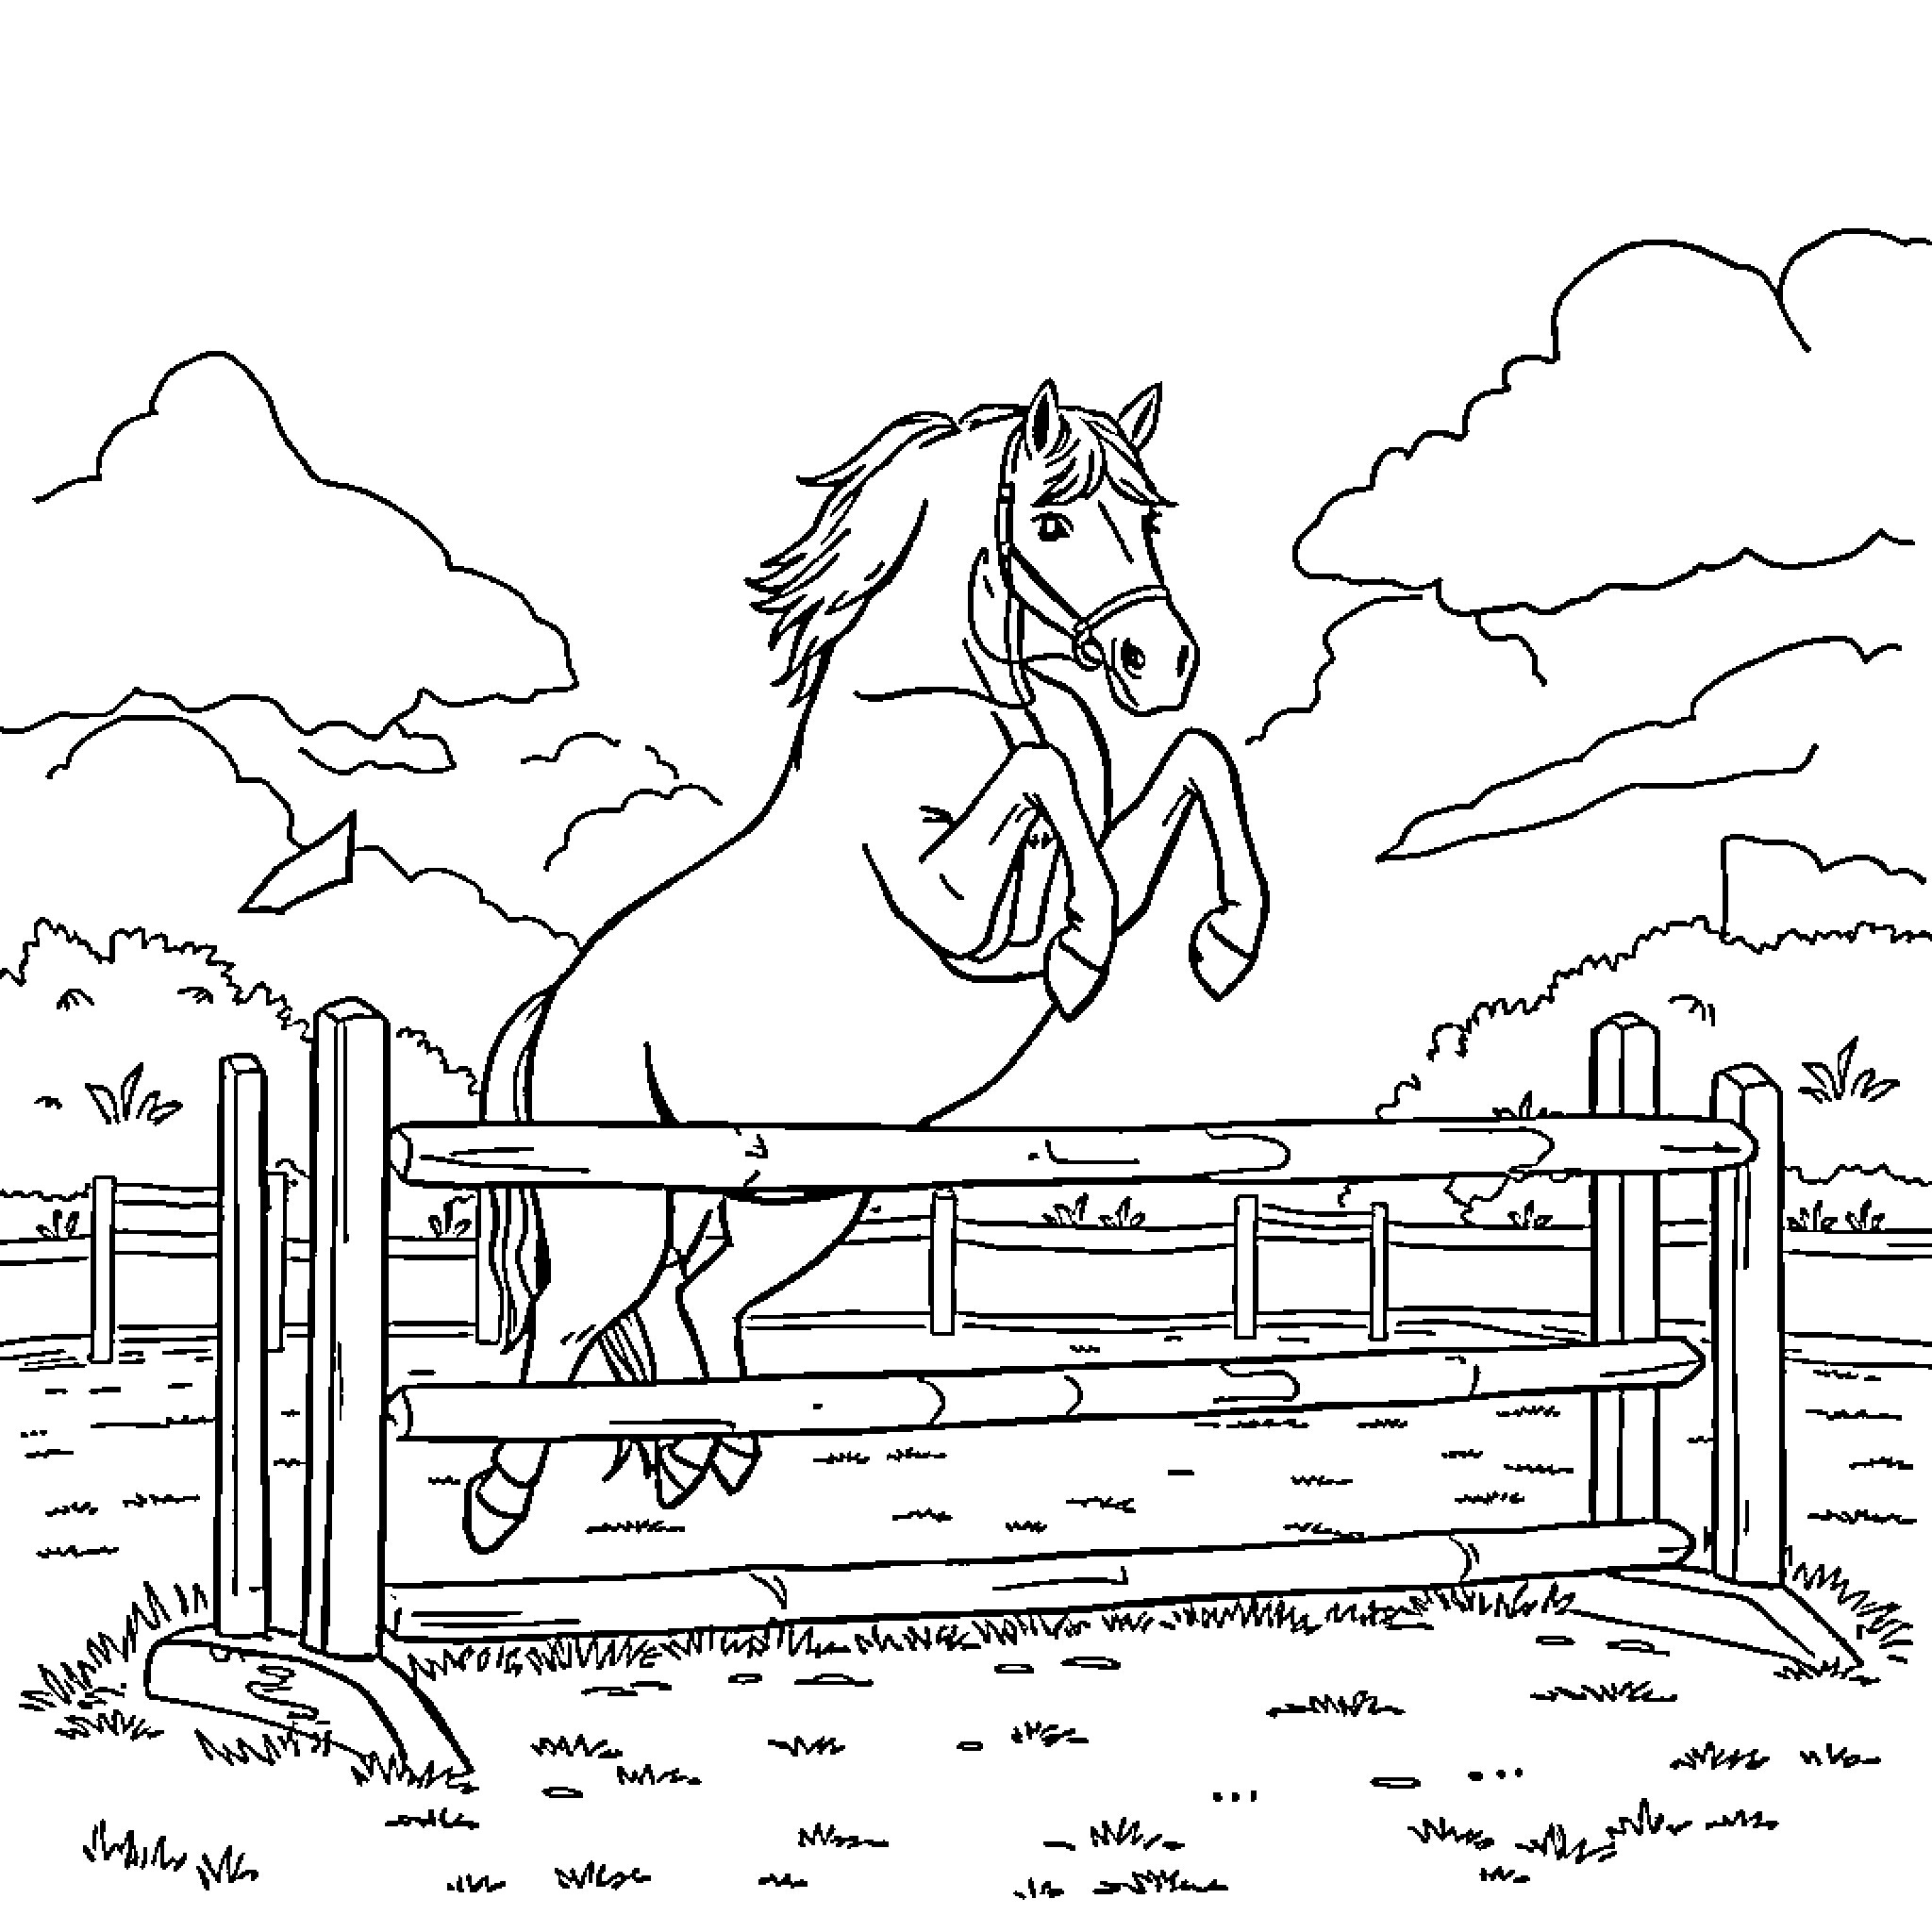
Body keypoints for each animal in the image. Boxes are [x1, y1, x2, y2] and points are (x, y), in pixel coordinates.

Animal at [462, 379, 1269, 1552]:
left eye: (1147, 520)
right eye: (1050, 523)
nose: (1158, 663)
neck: (942, 695)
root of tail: (550, 1015)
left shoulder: (1100, 843)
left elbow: (1188, 767)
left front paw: (1221, 939)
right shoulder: (955, 912)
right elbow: (1046, 781)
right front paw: (1083, 956)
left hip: (798, 1196)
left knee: (691, 1299)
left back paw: (713, 1449)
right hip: (621, 1210)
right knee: (574, 1324)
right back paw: (499, 1498)